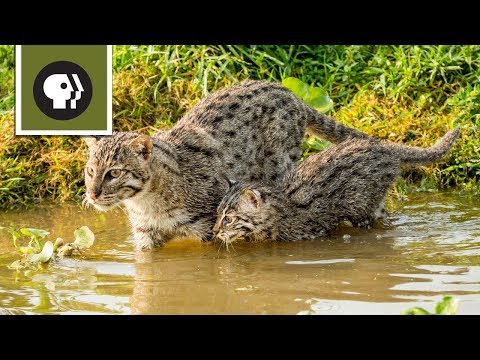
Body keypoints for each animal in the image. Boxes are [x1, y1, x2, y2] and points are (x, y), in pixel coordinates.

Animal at [82, 79, 376, 249]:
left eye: (114, 173)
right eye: (90, 170)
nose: (92, 194)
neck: (148, 203)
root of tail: (291, 94)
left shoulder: (209, 227)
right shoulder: (146, 238)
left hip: (279, 166)